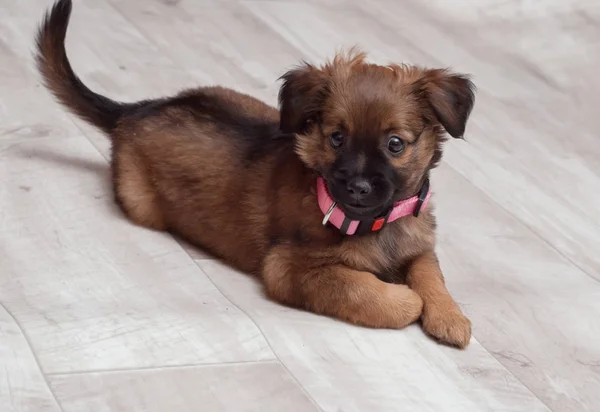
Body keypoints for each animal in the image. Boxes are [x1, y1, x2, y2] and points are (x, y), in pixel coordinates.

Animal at [38, 0, 478, 348]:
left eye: (395, 145)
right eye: (337, 138)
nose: (357, 187)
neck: (376, 224)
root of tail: (137, 109)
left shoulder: (419, 247)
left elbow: (430, 275)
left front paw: (450, 316)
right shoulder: (290, 268)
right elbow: (362, 289)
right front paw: (406, 300)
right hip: (142, 205)